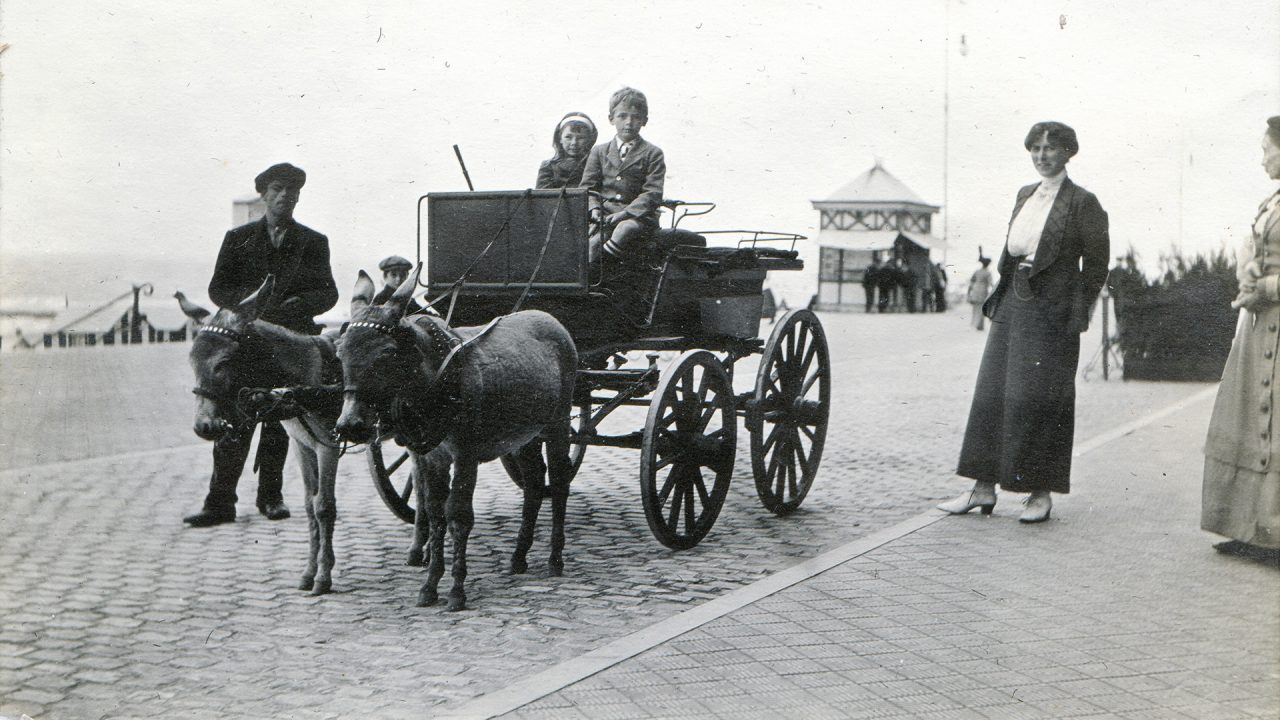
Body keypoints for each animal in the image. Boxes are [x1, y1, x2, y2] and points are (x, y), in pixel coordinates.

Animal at [333, 266, 577, 611]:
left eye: (386, 354)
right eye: (339, 352)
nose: (350, 425)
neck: (434, 383)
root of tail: (550, 318)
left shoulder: (466, 454)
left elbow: (458, 516)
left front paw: (457, 591)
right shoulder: (429, 456)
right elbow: (434, 512)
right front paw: (429, 585)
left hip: (557, 423)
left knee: (558, 481)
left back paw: (555, 559)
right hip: (523, 435)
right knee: (533, 481)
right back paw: (519, 557)